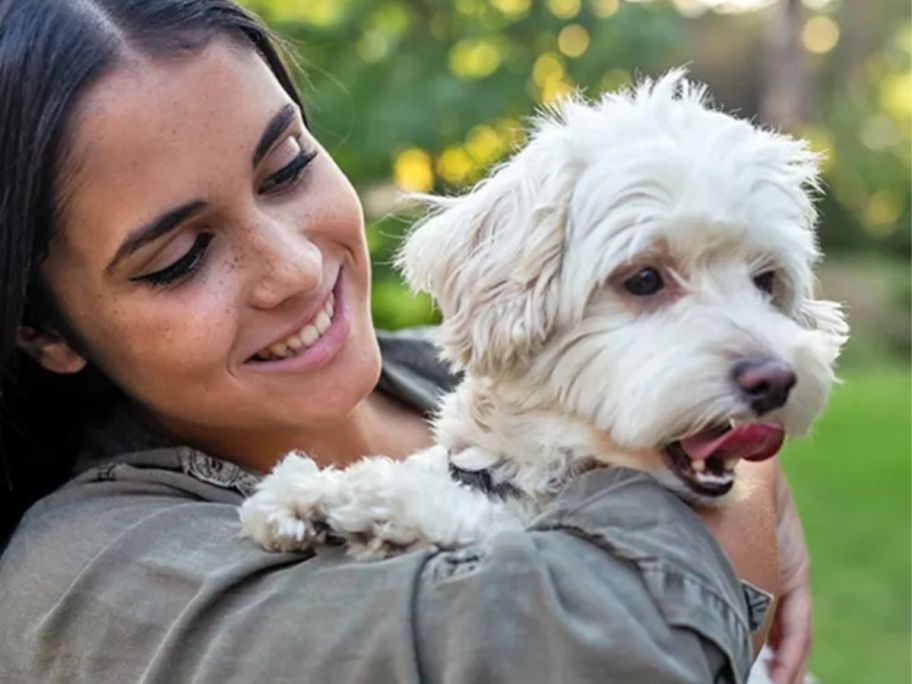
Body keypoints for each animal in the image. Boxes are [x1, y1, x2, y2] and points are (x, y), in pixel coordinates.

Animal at [237, 69, 848, 560]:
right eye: (643, 279)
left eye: (766, 281)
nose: (775, 380)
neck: (531, 466)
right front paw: (307, 495)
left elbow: (481, 523)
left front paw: (371, 503)